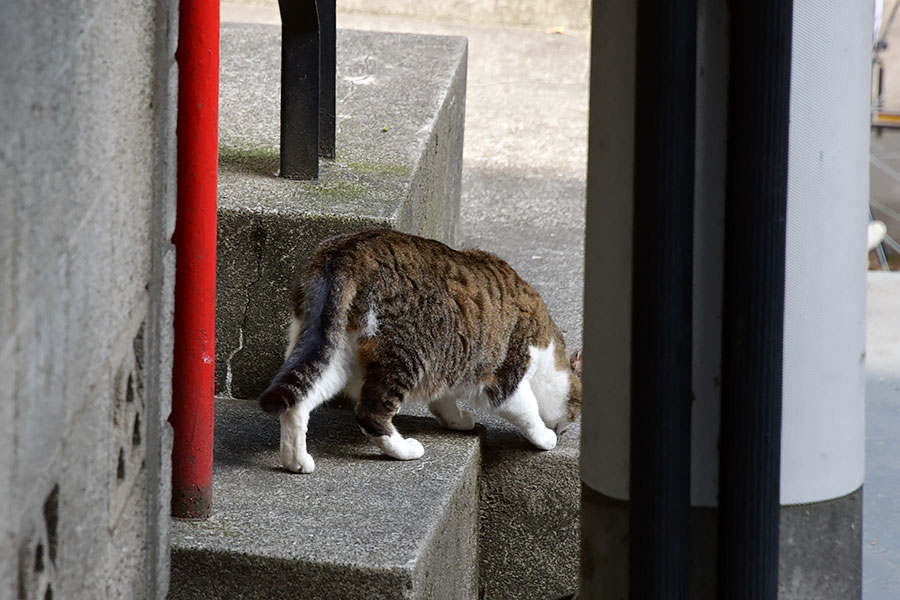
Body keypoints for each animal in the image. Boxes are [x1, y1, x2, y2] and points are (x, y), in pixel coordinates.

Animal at [258, 230, 584, 474]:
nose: (567, 432)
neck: (548, 349)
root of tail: (347, 251)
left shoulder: (454, 365)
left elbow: (443, 402)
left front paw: (456, 421)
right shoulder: (507, 375)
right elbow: (528, 412)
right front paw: (546, 438)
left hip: (334, 353)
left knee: (298, 399)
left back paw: (296, 462)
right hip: (406, 356)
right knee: (370, 412)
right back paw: (404, 449)